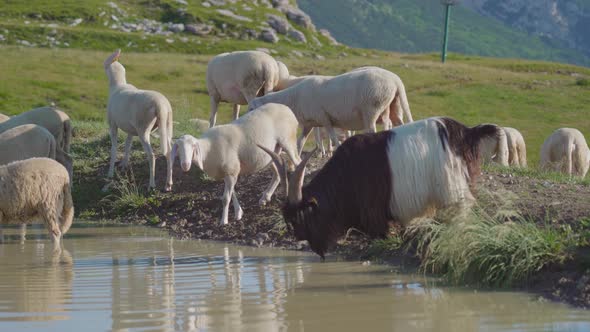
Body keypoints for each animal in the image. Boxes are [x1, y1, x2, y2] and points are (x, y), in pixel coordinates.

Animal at [104, 48, 175, 191]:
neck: (118, 84)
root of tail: (160, 104)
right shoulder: (131, 130)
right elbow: (127, 145)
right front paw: (124, 165)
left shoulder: (113, 125)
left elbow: (114, 149)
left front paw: (110, 173)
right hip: (167, 126)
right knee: (169, 152)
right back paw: (168, 184)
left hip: (144, 129)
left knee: (152, 156)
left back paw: (151, 185)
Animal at [170, 103, 300, 226]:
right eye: (178, 147)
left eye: (193, 146)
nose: (185, 165)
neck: (208, 149)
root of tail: (287, 108)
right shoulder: (228, 172)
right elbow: (232, 193)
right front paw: (239, 213)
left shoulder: (231, 171)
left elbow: (226, 198)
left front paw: (224, 221)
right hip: (270, 155)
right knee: (277, 174)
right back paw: (265, 197)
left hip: (288, 142)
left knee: (298, 163)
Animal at [247, 66, 414, 154]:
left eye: (251, 108)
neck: (293, 99)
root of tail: (395, 80)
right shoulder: (310, 124)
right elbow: (300, 142)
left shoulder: (325, 119)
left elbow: (333, 138)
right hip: (393, 106)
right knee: (398, 124)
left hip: (372, 108)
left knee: (374, 128)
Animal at [260, 118, 500, 258]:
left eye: (301, 217)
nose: (299, 237)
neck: (346, 174)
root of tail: (466, 133)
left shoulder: (374, 213)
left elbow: (381, 235)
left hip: (452, 186)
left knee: (463, 209)